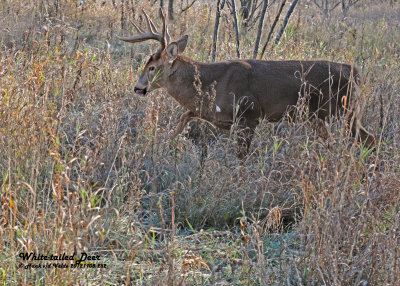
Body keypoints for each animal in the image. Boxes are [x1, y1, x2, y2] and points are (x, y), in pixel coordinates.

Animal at [118, 8, 376, 159]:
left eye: (152, 67)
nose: (137, 87)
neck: (212, 82)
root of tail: (357, 73)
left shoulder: (249, 113)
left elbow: (242, 156)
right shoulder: (217, 115)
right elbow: (185, 117)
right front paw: (170, 141)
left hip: (346, 111)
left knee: (368, 138)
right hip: (318, 117)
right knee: (342, 141)